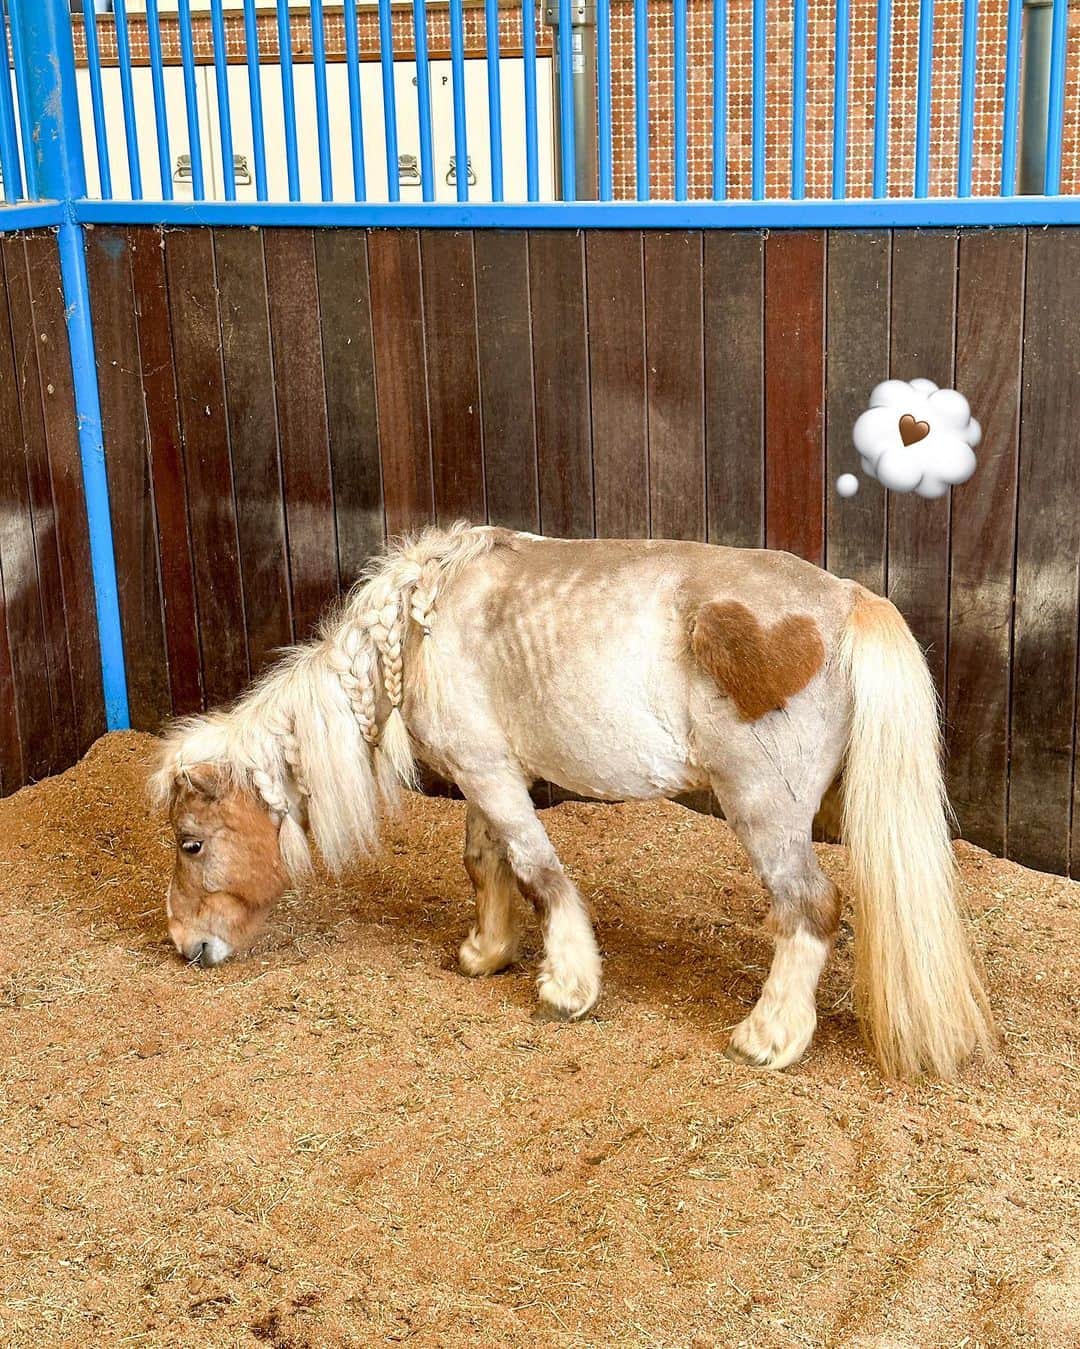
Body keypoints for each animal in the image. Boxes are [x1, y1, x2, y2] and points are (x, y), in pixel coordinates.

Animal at [151, 522, 995, 1079]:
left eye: (191, 842)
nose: (188, 945)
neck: (420, 626)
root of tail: (846, 601)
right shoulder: (485, 771)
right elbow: (484, 862)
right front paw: (487, 952)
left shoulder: (493, 778)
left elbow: (540, 874)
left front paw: (568, 986)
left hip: (764, 812)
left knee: (810, 908)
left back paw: (770, 1035)